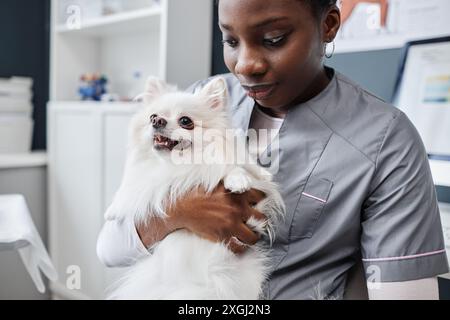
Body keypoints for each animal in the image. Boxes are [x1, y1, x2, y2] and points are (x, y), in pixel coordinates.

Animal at [105, 76, 284, 298]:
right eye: (152, 116)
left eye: (185, 121)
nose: (157, 121)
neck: (180, 165)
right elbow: (138, 188)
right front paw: (114, 208)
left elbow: (238, 168)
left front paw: (238, 179)